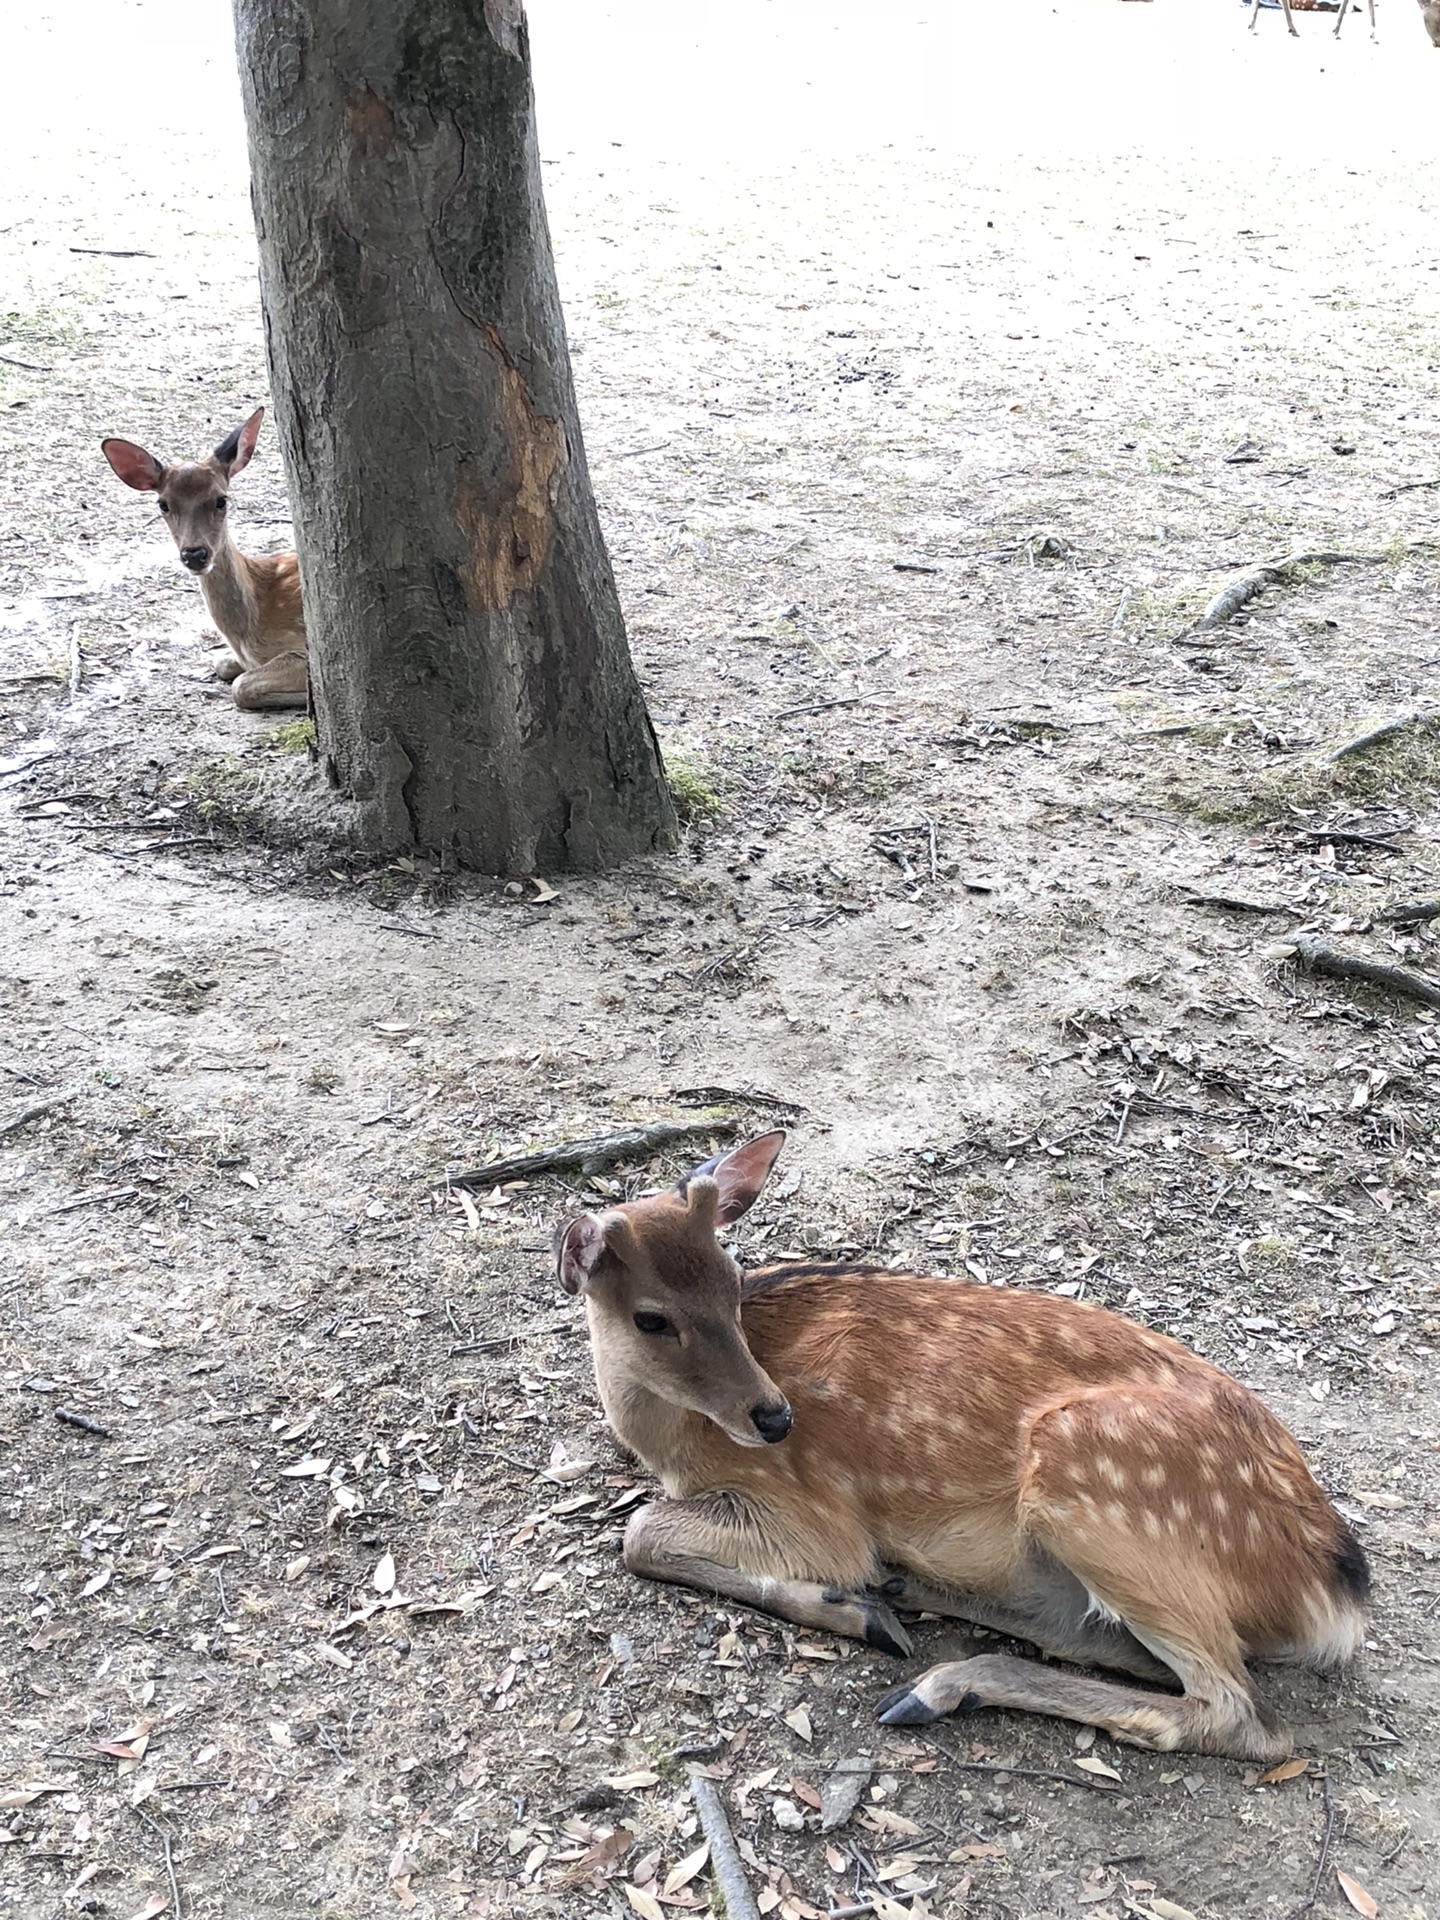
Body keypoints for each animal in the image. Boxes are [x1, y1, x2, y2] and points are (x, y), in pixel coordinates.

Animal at [101, 407, 311, 714]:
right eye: (163, 504)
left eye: (221, 500)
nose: (195, 554)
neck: (246, 635)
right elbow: (221, 663)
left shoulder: (304, 647)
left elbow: (241, 686)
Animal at [556, 1128, 1374, 1758]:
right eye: (652, 1318)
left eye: (733, 1277)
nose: (775, 1419)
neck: (675, 1445)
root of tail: (1334, 1590)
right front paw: (866, 1604)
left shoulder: (811, 1511)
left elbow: (640, 1533)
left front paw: (849, 1607)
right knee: (1112, 1645)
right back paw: (911, 1599)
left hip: (1099, 1478)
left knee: (1241, 1715)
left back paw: (931, 1683)